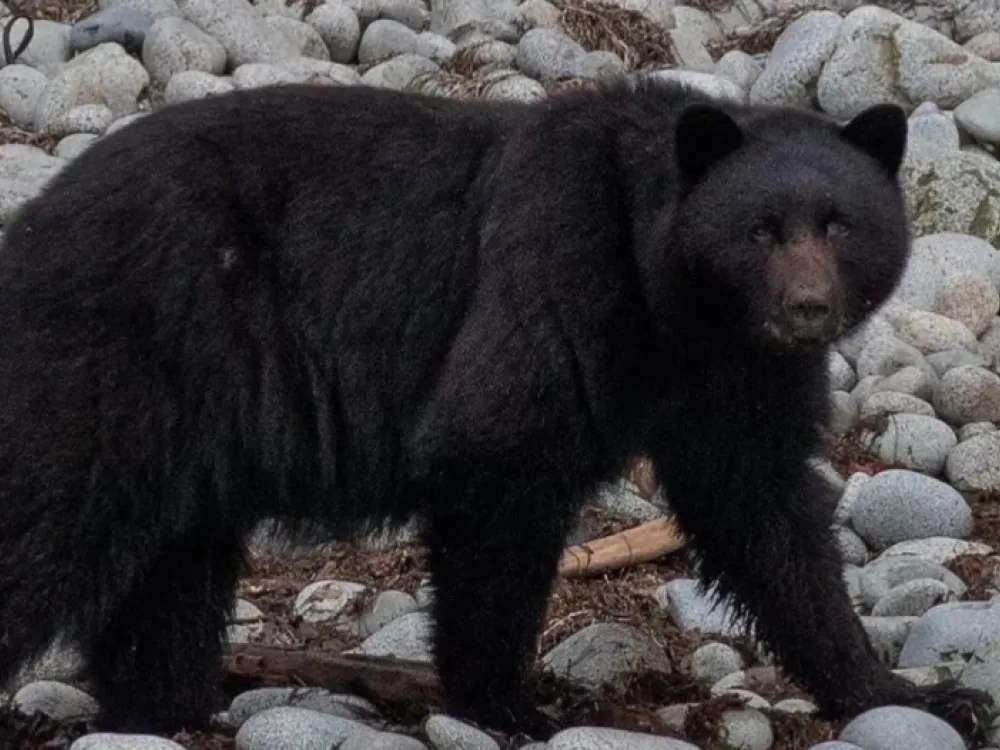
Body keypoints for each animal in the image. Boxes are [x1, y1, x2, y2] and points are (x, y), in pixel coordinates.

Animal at [0, 76, 991, 741]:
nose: (806, 310)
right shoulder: (558, 270)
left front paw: (911, 693)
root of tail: (31, 226)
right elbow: (499, 460)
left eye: (840, 223)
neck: (671, 304)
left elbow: (768, 516)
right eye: (760, 229)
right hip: (123, 359)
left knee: (170, 571)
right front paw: (512, 704)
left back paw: (163, 709)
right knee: (47, 526)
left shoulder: (738, 377)